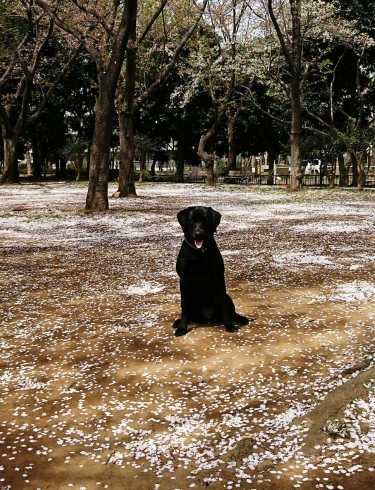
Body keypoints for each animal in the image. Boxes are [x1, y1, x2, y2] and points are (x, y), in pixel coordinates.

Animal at [173, 206, 250, 336]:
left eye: (206, 220)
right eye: (191, 220)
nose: (198, 234)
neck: (199, 252)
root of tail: (206, 320)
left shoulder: (219, 278)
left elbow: (225, 308)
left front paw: (229, 325)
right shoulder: (183, 280)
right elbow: (185, 311)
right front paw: (182, 327)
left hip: (227, 297)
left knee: (231, 311)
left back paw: (241, 319)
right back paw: (178, 322)